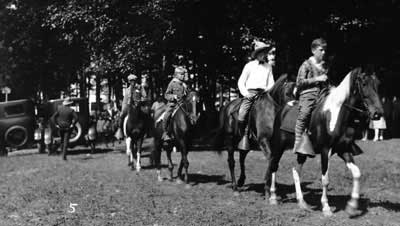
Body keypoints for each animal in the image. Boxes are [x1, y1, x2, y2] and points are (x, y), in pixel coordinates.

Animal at [268, 66, 382, 216]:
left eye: (378, 84)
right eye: (364, 84)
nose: (378, 113)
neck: (336, 114)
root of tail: (282, 109)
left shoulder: (343, 150)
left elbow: (357, 173)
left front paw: (352, 206)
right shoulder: (325, 150)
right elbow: (325, 180)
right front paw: (326, 207)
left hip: (302, 152)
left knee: (295, 171)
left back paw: (302, 202)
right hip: (278, 146)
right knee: (274, 166)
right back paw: (273, 197)